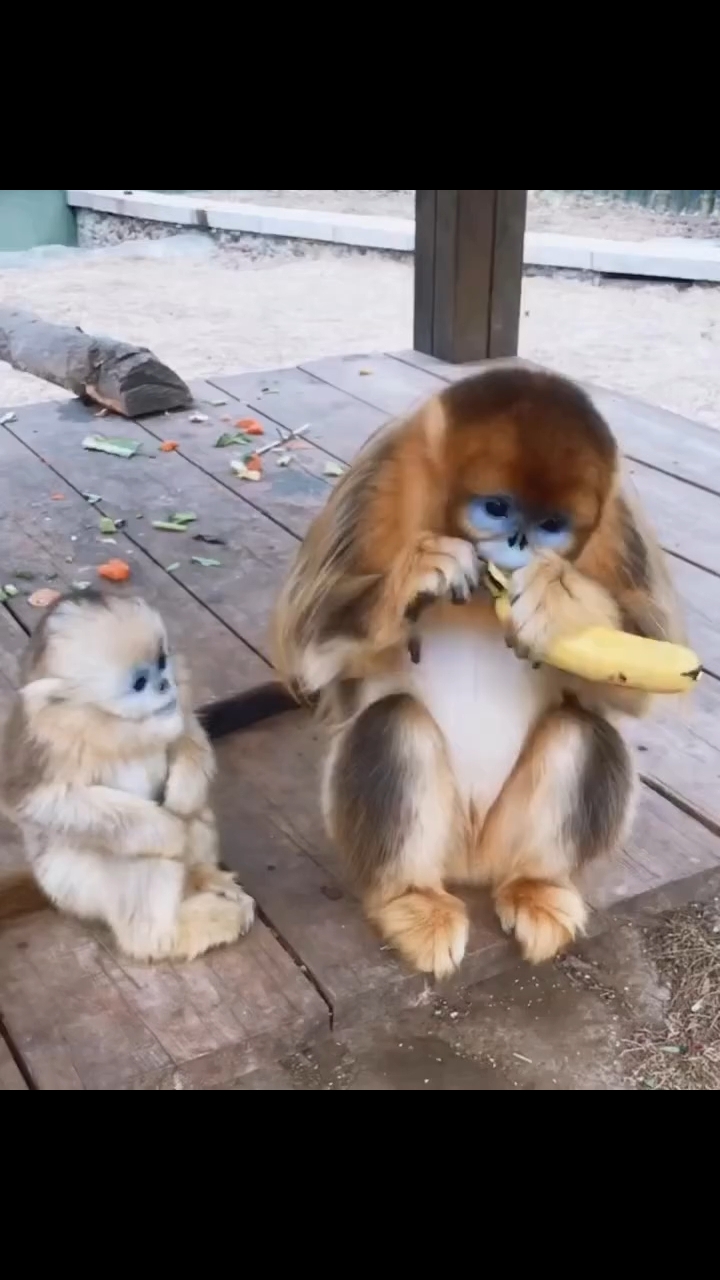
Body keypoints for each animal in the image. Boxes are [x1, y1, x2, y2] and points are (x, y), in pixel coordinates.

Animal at [0, 588, 256, 961]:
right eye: (139, 683)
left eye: (161, 661)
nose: (165, 683)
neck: (114, 723)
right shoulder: (46, 739)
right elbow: (38, 802)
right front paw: (168, 830)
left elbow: (188, 736)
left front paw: (181, 798)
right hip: (73, 885)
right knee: (139, 858)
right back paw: (173, 934)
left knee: (197, 815)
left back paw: (201, 876)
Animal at [271, 365, 686, 980]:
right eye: (496, 508)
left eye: (551, 525)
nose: (517, 542)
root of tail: (469, 859)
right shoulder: (381, 473)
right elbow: (310, 648)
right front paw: (418, 576)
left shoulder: (620, 518)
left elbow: (645, 675)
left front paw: (561, 601)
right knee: (393, 720)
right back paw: (412, 899)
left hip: (501, 842)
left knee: (580, 729)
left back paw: (536, 887)